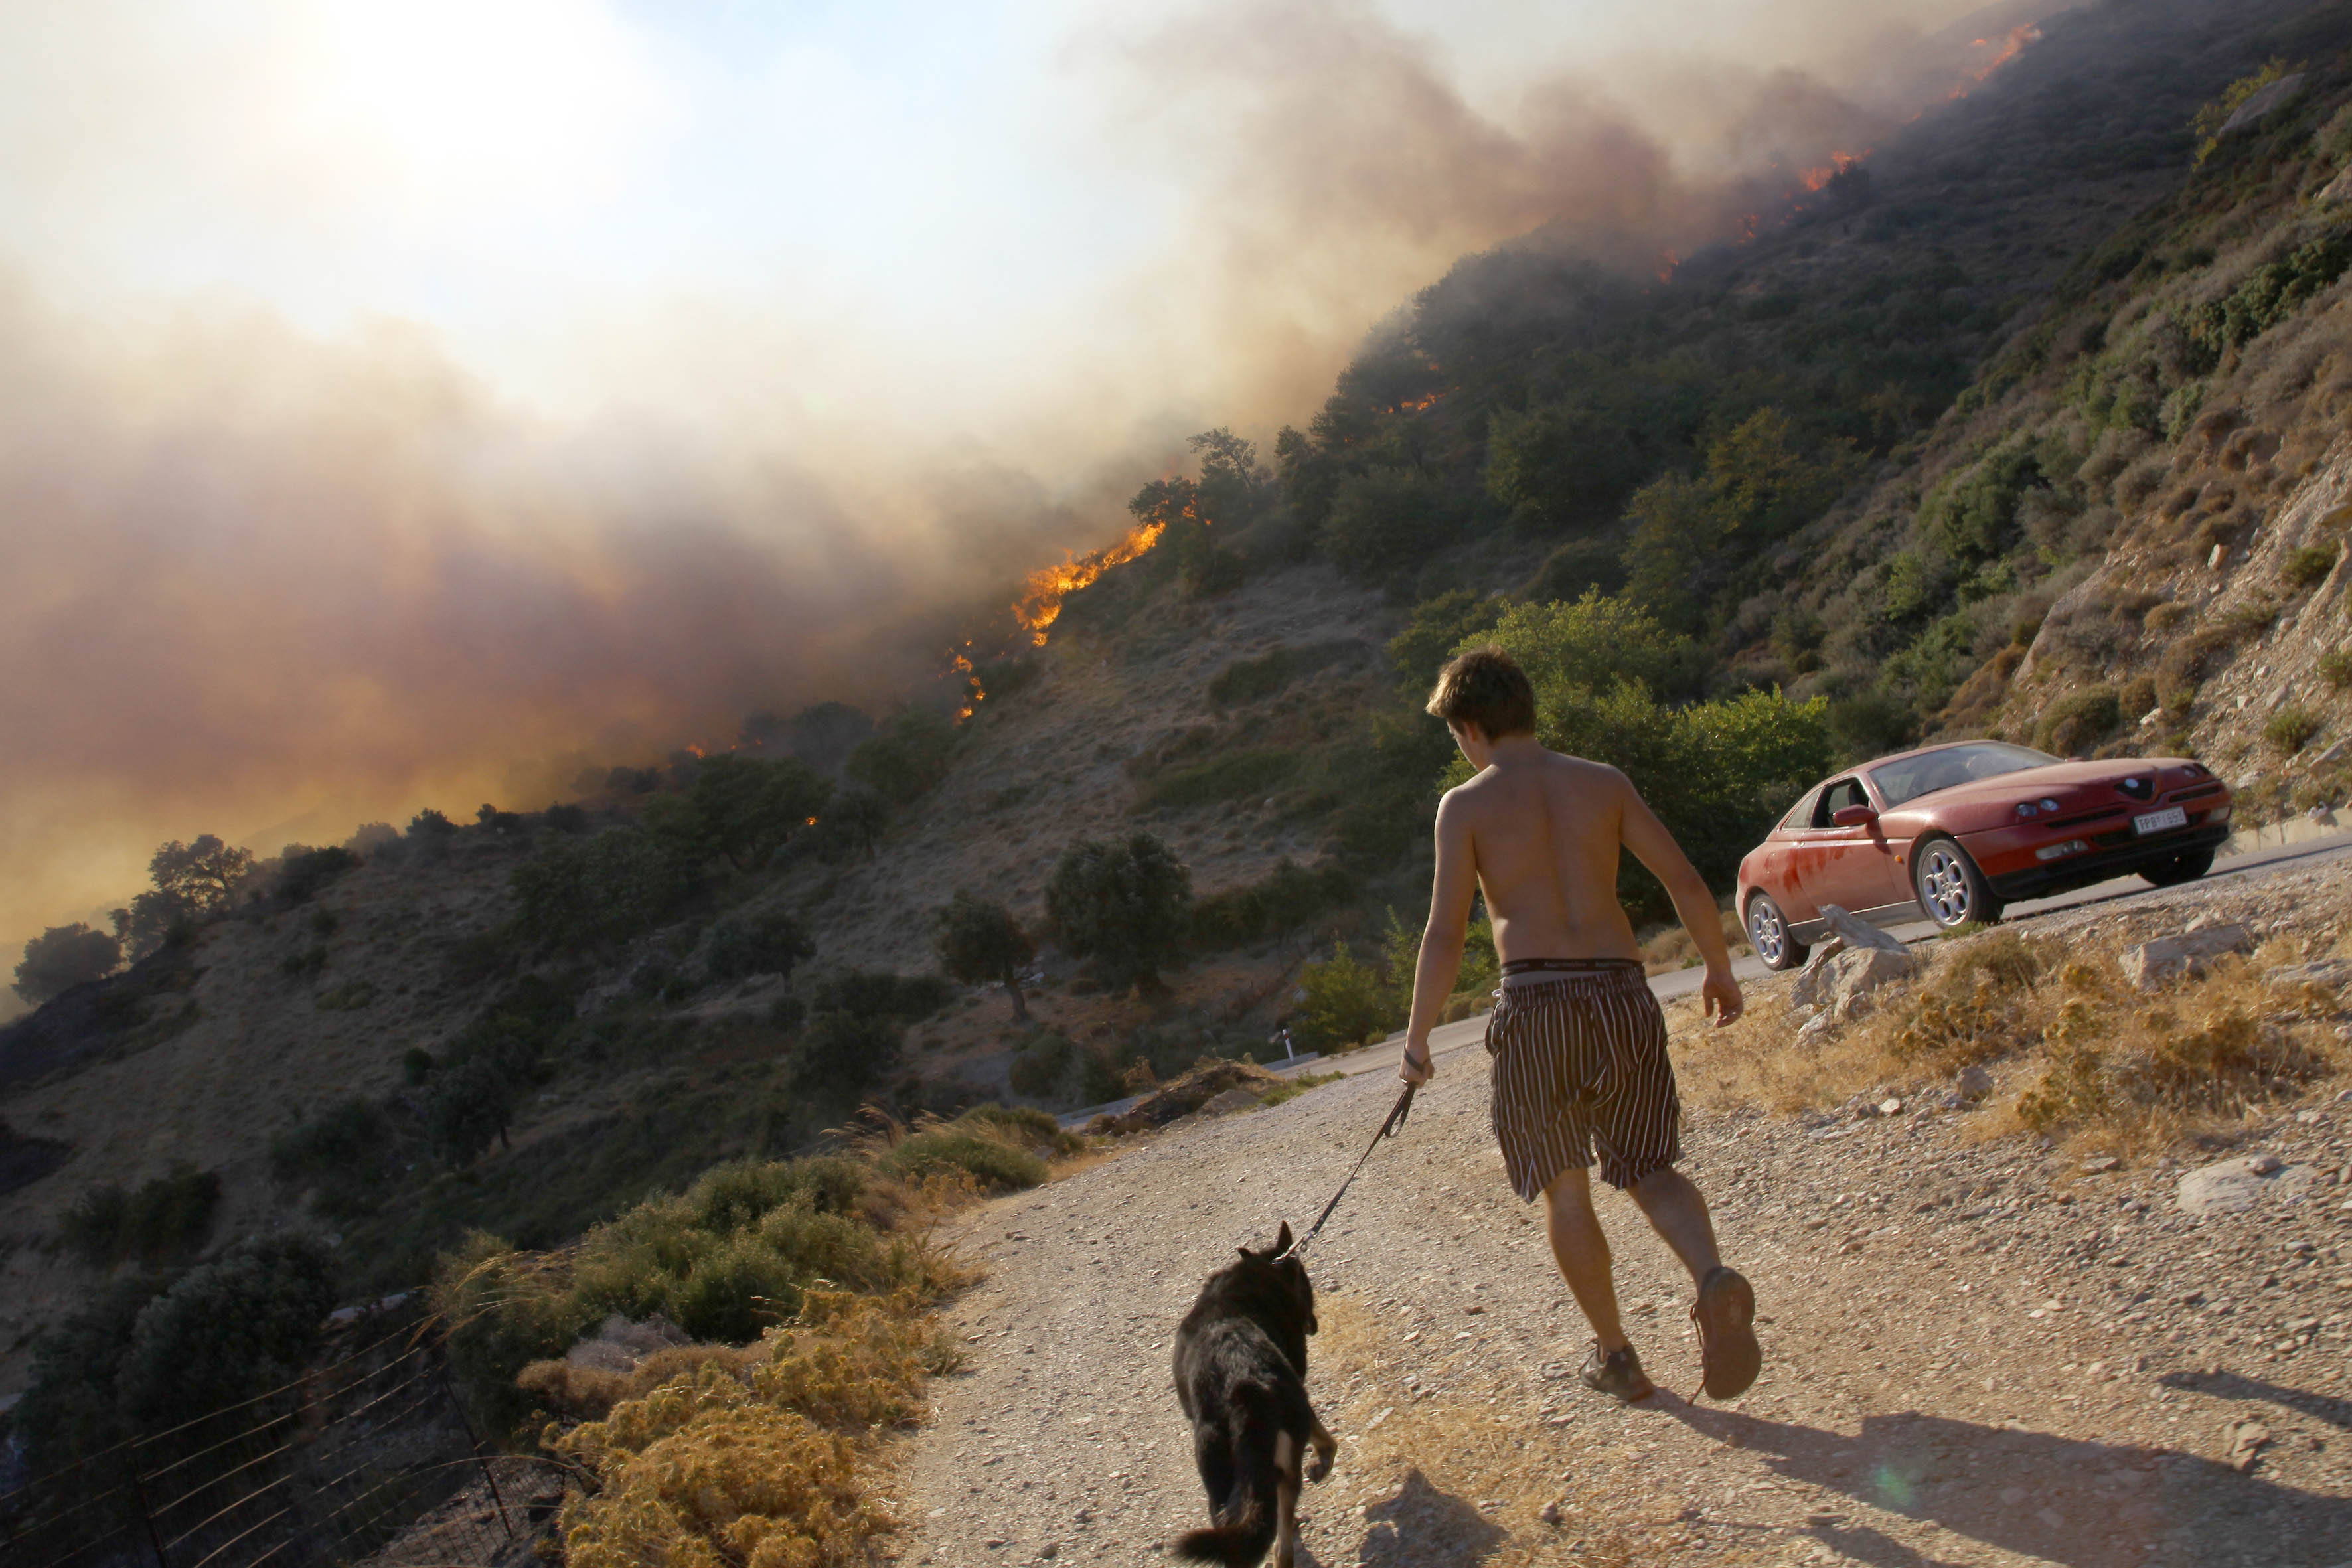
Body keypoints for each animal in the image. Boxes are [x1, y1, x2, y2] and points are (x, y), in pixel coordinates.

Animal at [1166, 1222, 1336, 1568]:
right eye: (1305, 1282)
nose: (1313, 1323)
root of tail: (1246, 1385)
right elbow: (1321, 1433)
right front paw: (1324, 1455)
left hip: (1218, 1477)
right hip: (1273, 1462)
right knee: (1279, 1528)